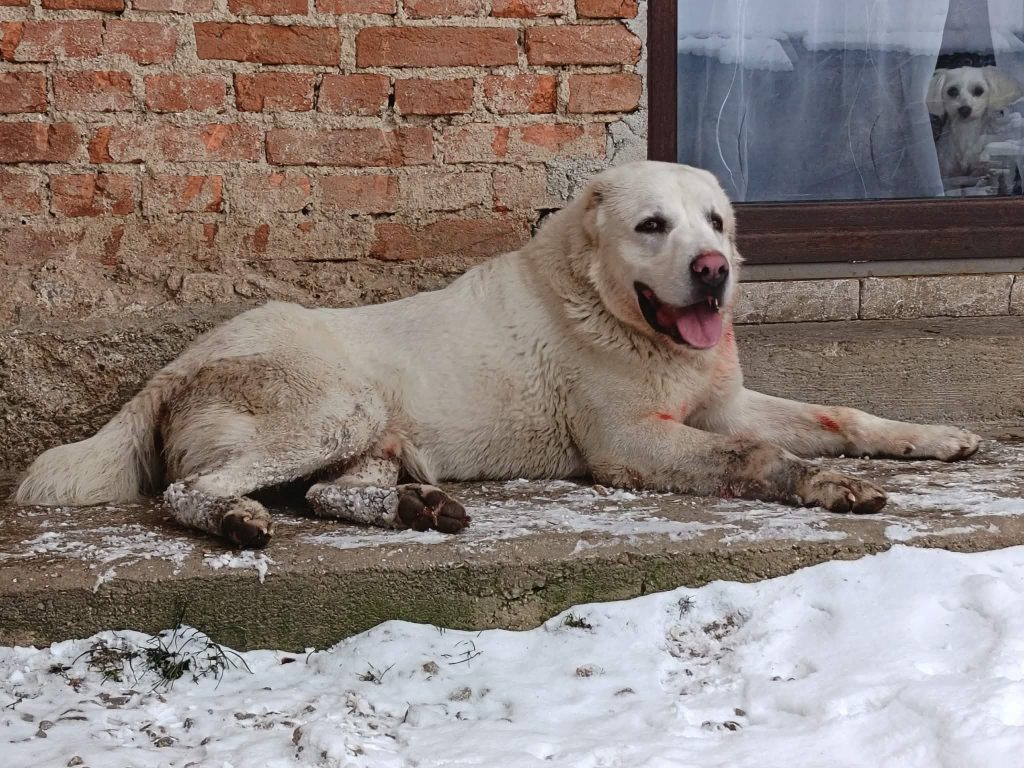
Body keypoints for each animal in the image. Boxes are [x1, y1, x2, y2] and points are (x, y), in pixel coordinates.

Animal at [13, 161, 981, 548]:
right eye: (651, 226)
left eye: (715, 222)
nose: (716, 271)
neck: (605, 306)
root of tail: (171, 367)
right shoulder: (632, 444)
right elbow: (758, 455)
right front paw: (830, 486)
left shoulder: (724, 402)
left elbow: (840, 415)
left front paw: (935, 437)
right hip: (334, 406)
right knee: (193, 490)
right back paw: (242, 522)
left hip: (373, 432)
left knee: (329, 495)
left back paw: (419, 509)